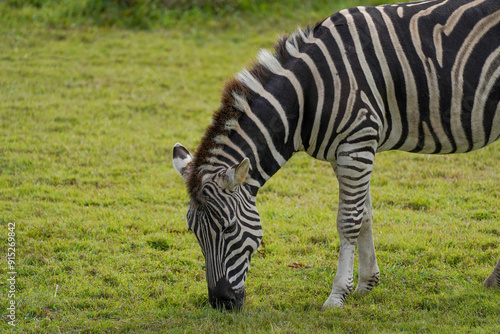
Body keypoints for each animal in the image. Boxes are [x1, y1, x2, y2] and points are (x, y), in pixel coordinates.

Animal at [172, 0, 500, 310]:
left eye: (228, 228)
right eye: (193, 233)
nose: (220, 303)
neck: (307, 93)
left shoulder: (358, 142)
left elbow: (348, 220)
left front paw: (337, 295)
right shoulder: (344, 152)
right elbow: (365, 214)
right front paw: (367, 283)